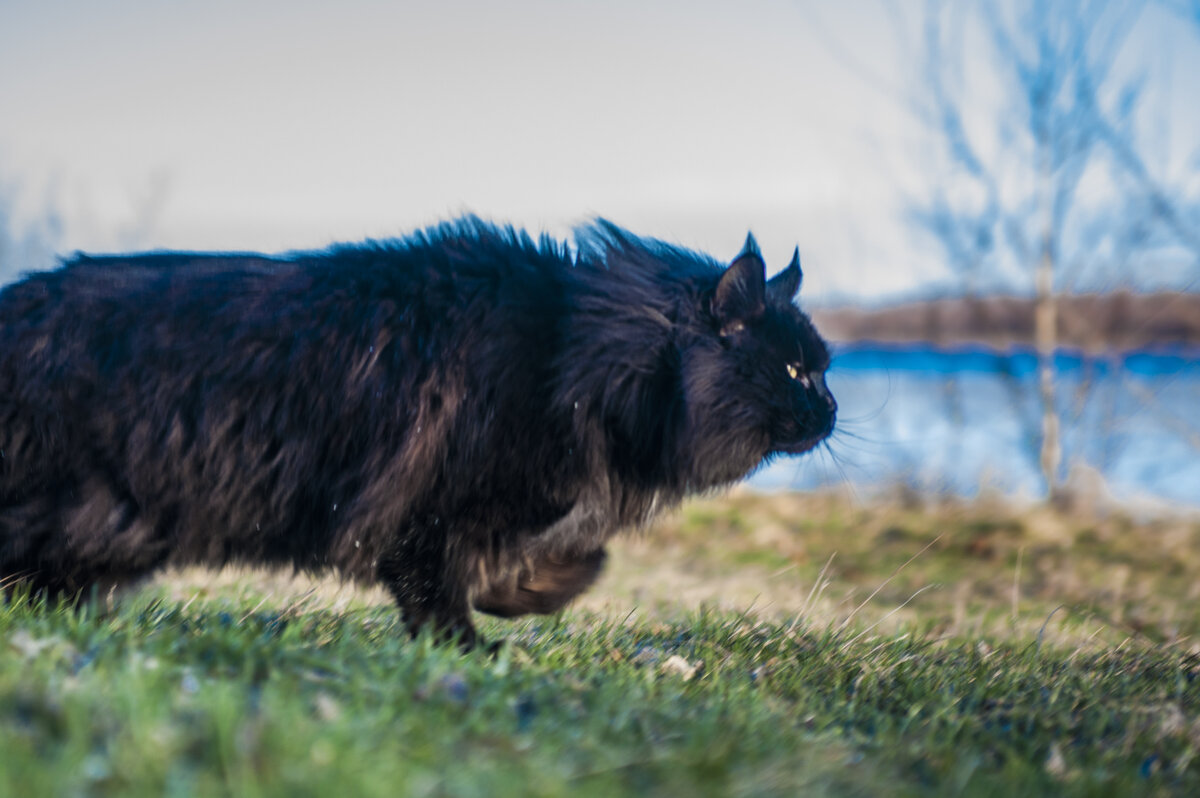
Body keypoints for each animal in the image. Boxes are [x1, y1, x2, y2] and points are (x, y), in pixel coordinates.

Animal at [0, 219, 840, 648]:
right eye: (797, 371)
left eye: (824, 369)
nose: (833, 409)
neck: (578, 353)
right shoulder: (437, 509)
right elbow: (436, 589)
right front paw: (468, 645)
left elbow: (559, 563)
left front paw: (529, 594)